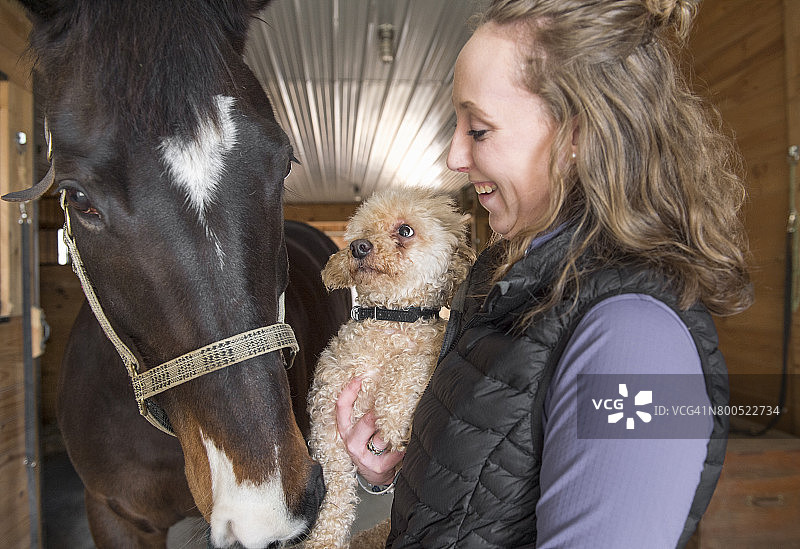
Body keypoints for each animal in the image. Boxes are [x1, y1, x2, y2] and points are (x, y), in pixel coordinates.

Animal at [304, 188, 475, 549]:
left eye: (405, 230)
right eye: (361, 231)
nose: (358, 246)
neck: (389, 318)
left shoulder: (430, 352)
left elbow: (409, 363)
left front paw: (395, 424)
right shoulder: (327, 424)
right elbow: (335, 491)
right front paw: (324, 539)